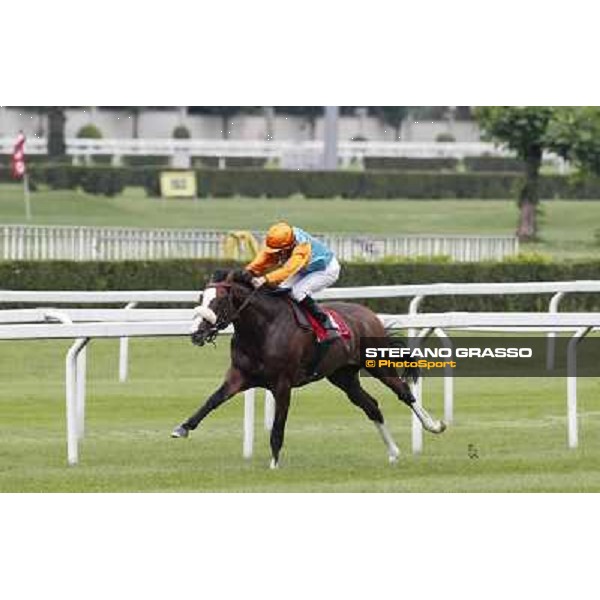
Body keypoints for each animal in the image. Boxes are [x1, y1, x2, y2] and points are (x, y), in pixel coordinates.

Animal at [170, 268, 446, 468]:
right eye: (200, 299)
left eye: (217, 303)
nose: (196, 334)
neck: (262, 328)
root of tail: (370, 315)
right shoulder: (239, 376)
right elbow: (212, 400)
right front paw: (182, 428)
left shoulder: (282, 384)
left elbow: (278, 426)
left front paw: (274, 464)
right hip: (343, 377)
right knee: (371, 406)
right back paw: (393, 452)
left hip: (378, 363)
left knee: (404, 392)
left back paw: (433, 426)